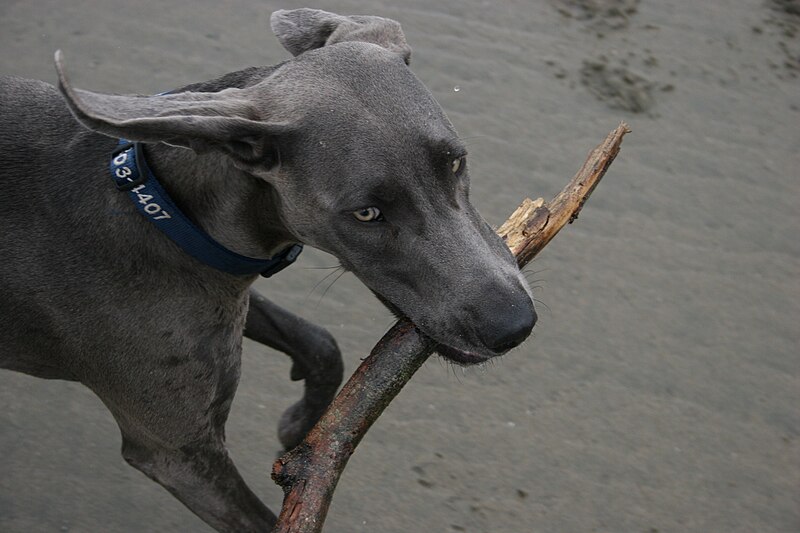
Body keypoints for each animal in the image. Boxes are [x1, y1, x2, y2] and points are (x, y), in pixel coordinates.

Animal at [1, 9, 536, 532]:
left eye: (456, 163)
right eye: (367, 214)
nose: (515, 325)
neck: (163, 210)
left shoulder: (222, 284)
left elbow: (320, 344)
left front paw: (301, 427)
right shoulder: (175, 452)